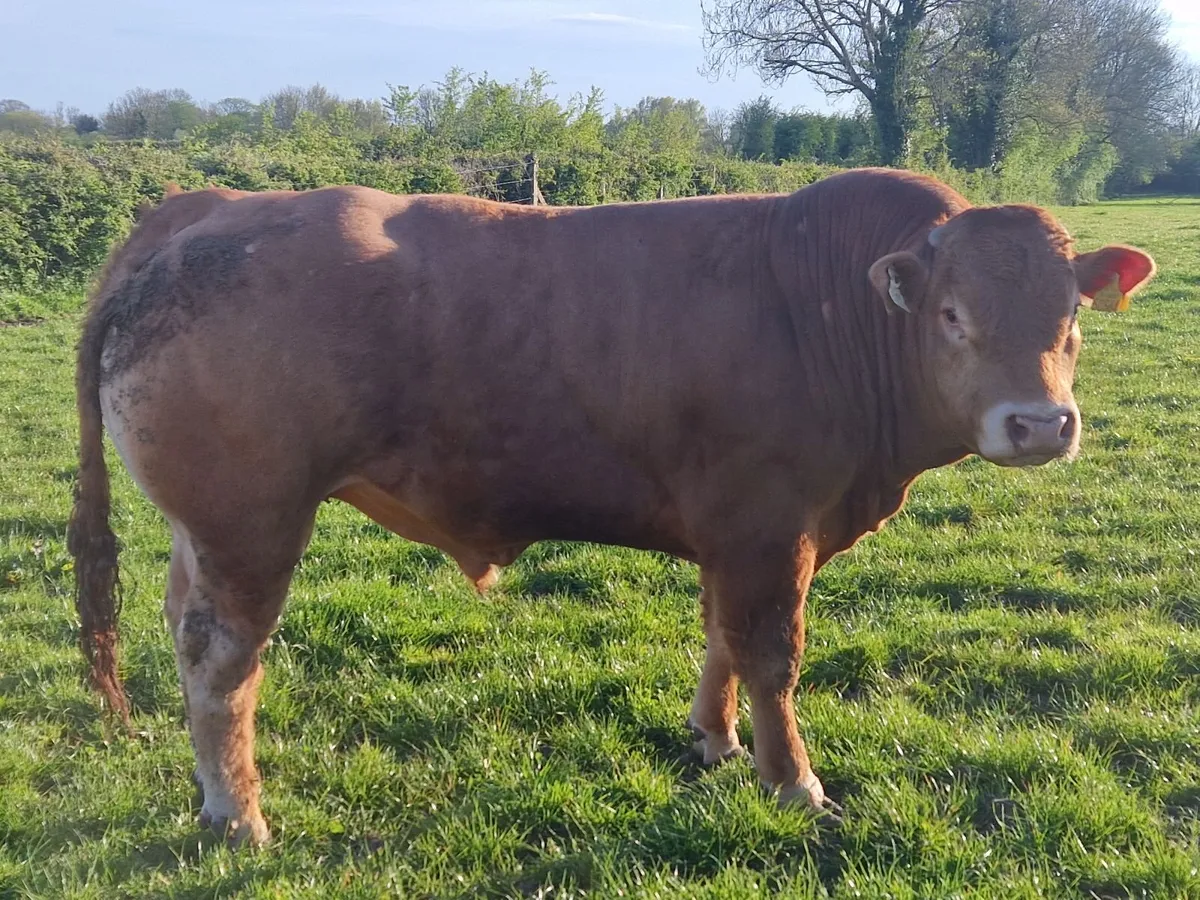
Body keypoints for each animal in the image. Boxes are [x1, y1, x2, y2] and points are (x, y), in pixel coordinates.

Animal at [68, 168, 1156, 845]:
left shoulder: (738, 532)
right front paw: (793, 781)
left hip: (199, 532)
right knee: (222, 659)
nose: (1040, 423)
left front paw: (716, 740)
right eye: (953, 315)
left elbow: (722, 639)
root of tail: (201, 210)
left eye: (1071, 316)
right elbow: (772, 657)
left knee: (182, 630)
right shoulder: (770, 526)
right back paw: (239, 814)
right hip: (248, 522)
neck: (828, 310)